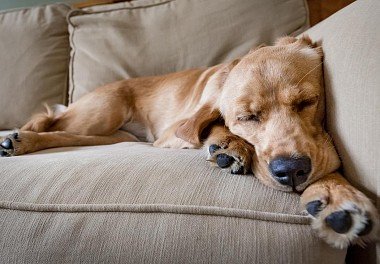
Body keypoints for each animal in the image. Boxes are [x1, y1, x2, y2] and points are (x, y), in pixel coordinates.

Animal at [0, 35, 378, 248]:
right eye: (247, 118)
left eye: (307, 102)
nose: (292, 171)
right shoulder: (173, 133)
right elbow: (209, 126)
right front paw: (229, 145)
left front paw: (334, 192)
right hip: (103, 110)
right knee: (53, 122)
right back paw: (18, 138)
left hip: (109, 132)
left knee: (70, 133)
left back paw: (20, 139)